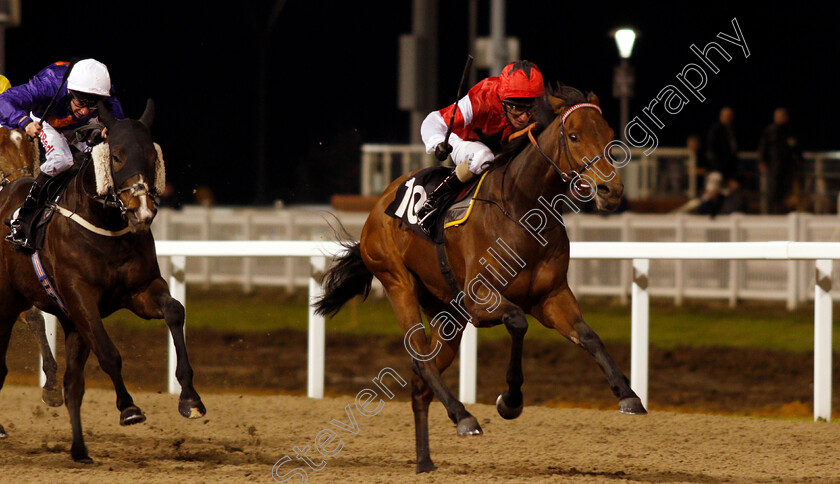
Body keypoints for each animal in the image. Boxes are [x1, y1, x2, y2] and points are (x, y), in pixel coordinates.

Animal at [0, 99, 207, 462]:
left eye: (152, 156)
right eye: (117, 156)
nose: (142, 210)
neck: (105, 225)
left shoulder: (139, 291)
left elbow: (174, 311)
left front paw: (190, 398)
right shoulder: (81, 299)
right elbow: (109, 352)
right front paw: (129, 407)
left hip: (68, 322)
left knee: (73, 384)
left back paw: (79, 449)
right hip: (8, 303)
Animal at [312, 84, 648, 472]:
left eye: (609, 135)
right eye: (574, 136)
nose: (612, 191)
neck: (521, 210)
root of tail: (376, 207)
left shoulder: (552, 297)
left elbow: (589, 337)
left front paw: (628, 394)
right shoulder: (478, 299)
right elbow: (517, 321)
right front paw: (510, 400)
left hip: (447, 315)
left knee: (421, 380)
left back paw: (425, 461)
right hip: (398, 281)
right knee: (419, 359)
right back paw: (463, 417)